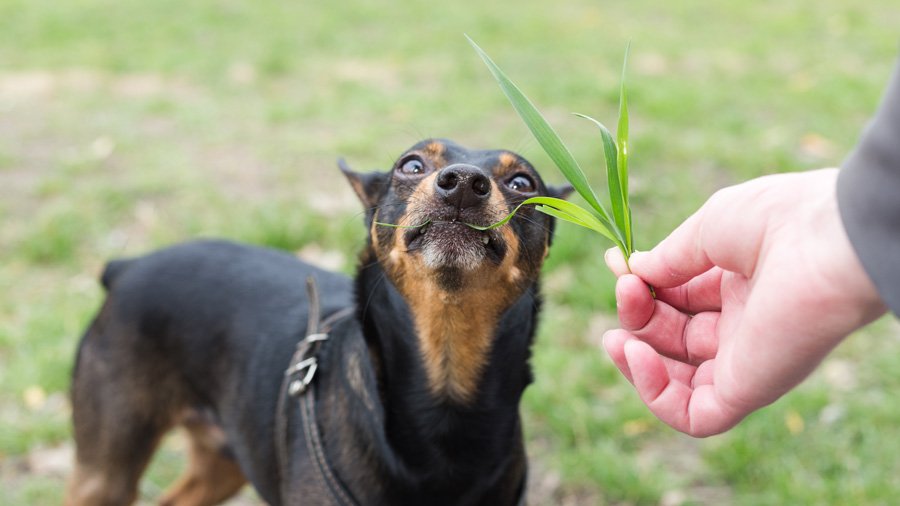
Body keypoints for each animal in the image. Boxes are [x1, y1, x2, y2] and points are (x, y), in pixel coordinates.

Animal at [65, 139, 568, 506]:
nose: (463, 181)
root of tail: (127, 266)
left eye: (523, 182)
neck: (446, 395)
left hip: (226, 457)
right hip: (105, 474)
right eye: (411, 165)